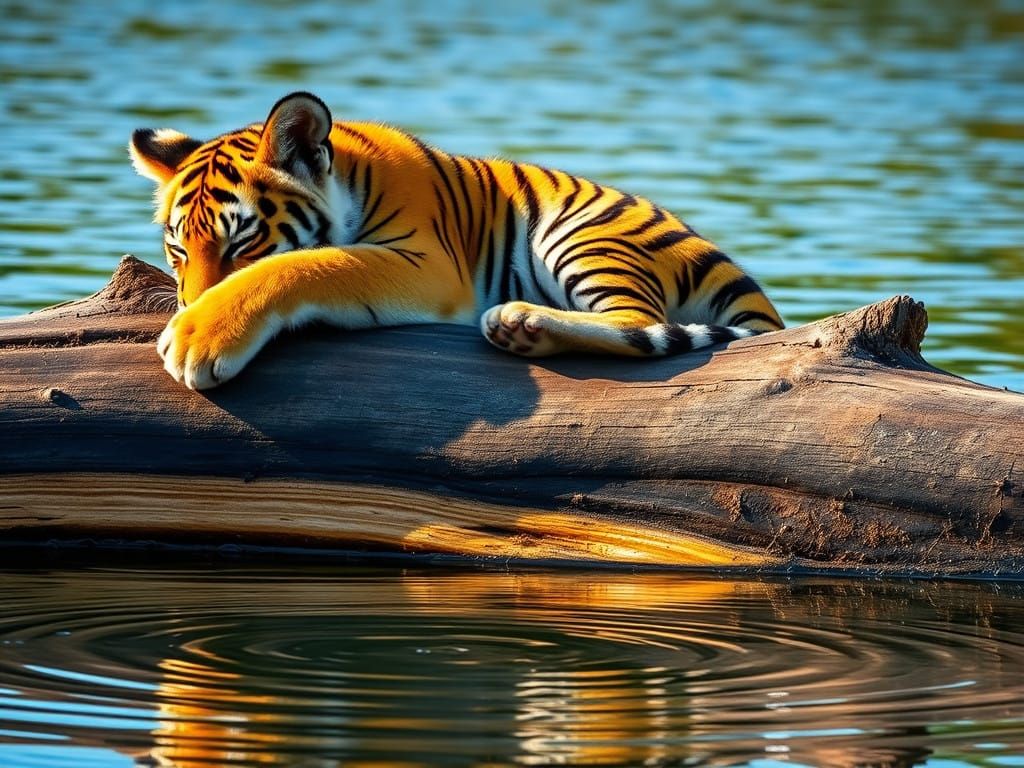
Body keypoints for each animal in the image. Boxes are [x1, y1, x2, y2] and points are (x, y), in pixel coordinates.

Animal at [130, 91, 783, 390]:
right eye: (178, 250)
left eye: (241, 245)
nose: (188, 306)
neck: (350, 178)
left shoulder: (428, 264)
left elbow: (311, 264)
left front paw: (197, 337)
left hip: (583, 236)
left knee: (639, 322)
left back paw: (520, 320)